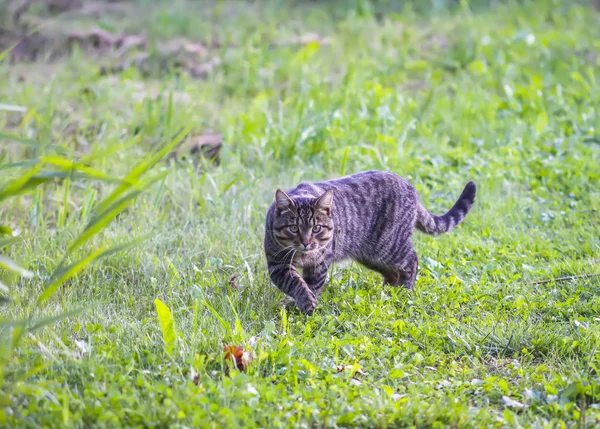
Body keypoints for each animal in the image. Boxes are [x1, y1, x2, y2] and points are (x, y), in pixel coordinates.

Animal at [264, 171, 476, 314]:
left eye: (316, 228)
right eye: (294, 228)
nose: (306, 242)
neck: (303, 256)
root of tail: (410, 187)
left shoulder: (319, 264)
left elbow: (311, 285)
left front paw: (304, 305)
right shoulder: (278, 264)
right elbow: (296, 283)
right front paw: (303, 301)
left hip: (389, 247)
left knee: (412, 260)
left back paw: (404, 292)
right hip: (372, 256)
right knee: (394, 273)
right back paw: (389, 293)